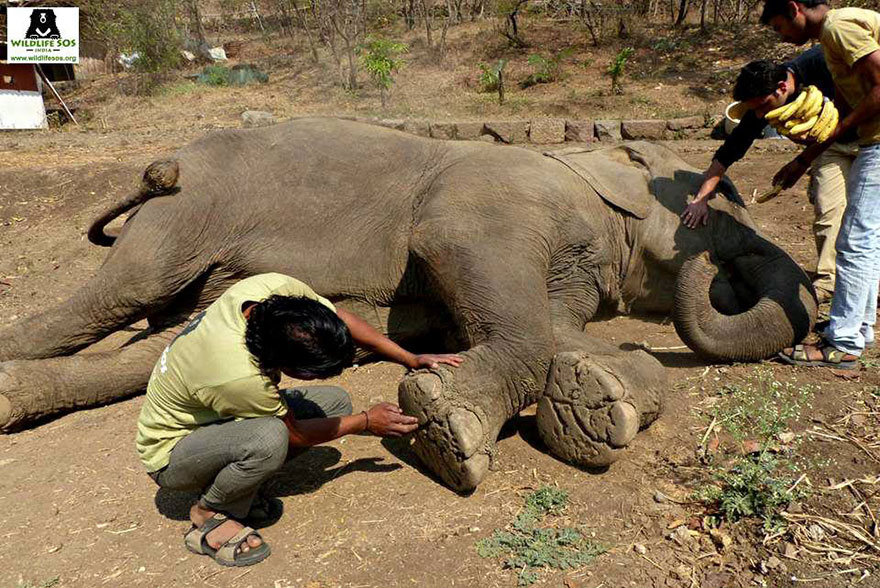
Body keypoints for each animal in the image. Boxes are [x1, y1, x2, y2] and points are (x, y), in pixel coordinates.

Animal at [0, 118, 817, 492]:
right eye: (726, 199)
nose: (708, 247)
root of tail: (167, 166)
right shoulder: (496, 196)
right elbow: (485, 279)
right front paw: (446, 430)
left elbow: (552, 327)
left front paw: (590, 407)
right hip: (183, 213)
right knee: (114, 297)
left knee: (152, 350)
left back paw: (17, 394)